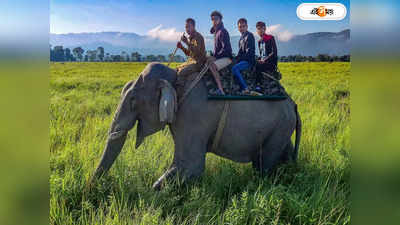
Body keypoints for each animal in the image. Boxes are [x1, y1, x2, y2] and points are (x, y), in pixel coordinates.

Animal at [91, 62, 300, 190]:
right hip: (282, 128)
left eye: (133, 101)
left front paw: (151, 194)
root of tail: (293, 104)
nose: (90, 188)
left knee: (264, 165)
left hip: (280, 127)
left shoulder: (193, 116)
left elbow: (191, 166)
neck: (175, 76)